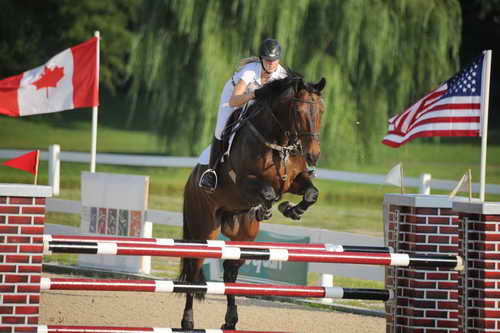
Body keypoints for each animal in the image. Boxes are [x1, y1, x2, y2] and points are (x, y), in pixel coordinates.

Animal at [178, 71, 326, 328]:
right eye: (299, 112)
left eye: (321, 111)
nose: (313, 155)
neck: (279, 142)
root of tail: (190, 181)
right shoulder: (245, 183)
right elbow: (268, 192)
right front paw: (267, 208)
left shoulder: (295, 181)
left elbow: (311, 193)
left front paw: (291, 209)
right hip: (203, 230)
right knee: (193, 270)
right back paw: (188, 322)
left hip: (244, 234)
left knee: (230, 270)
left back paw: (230, 320)